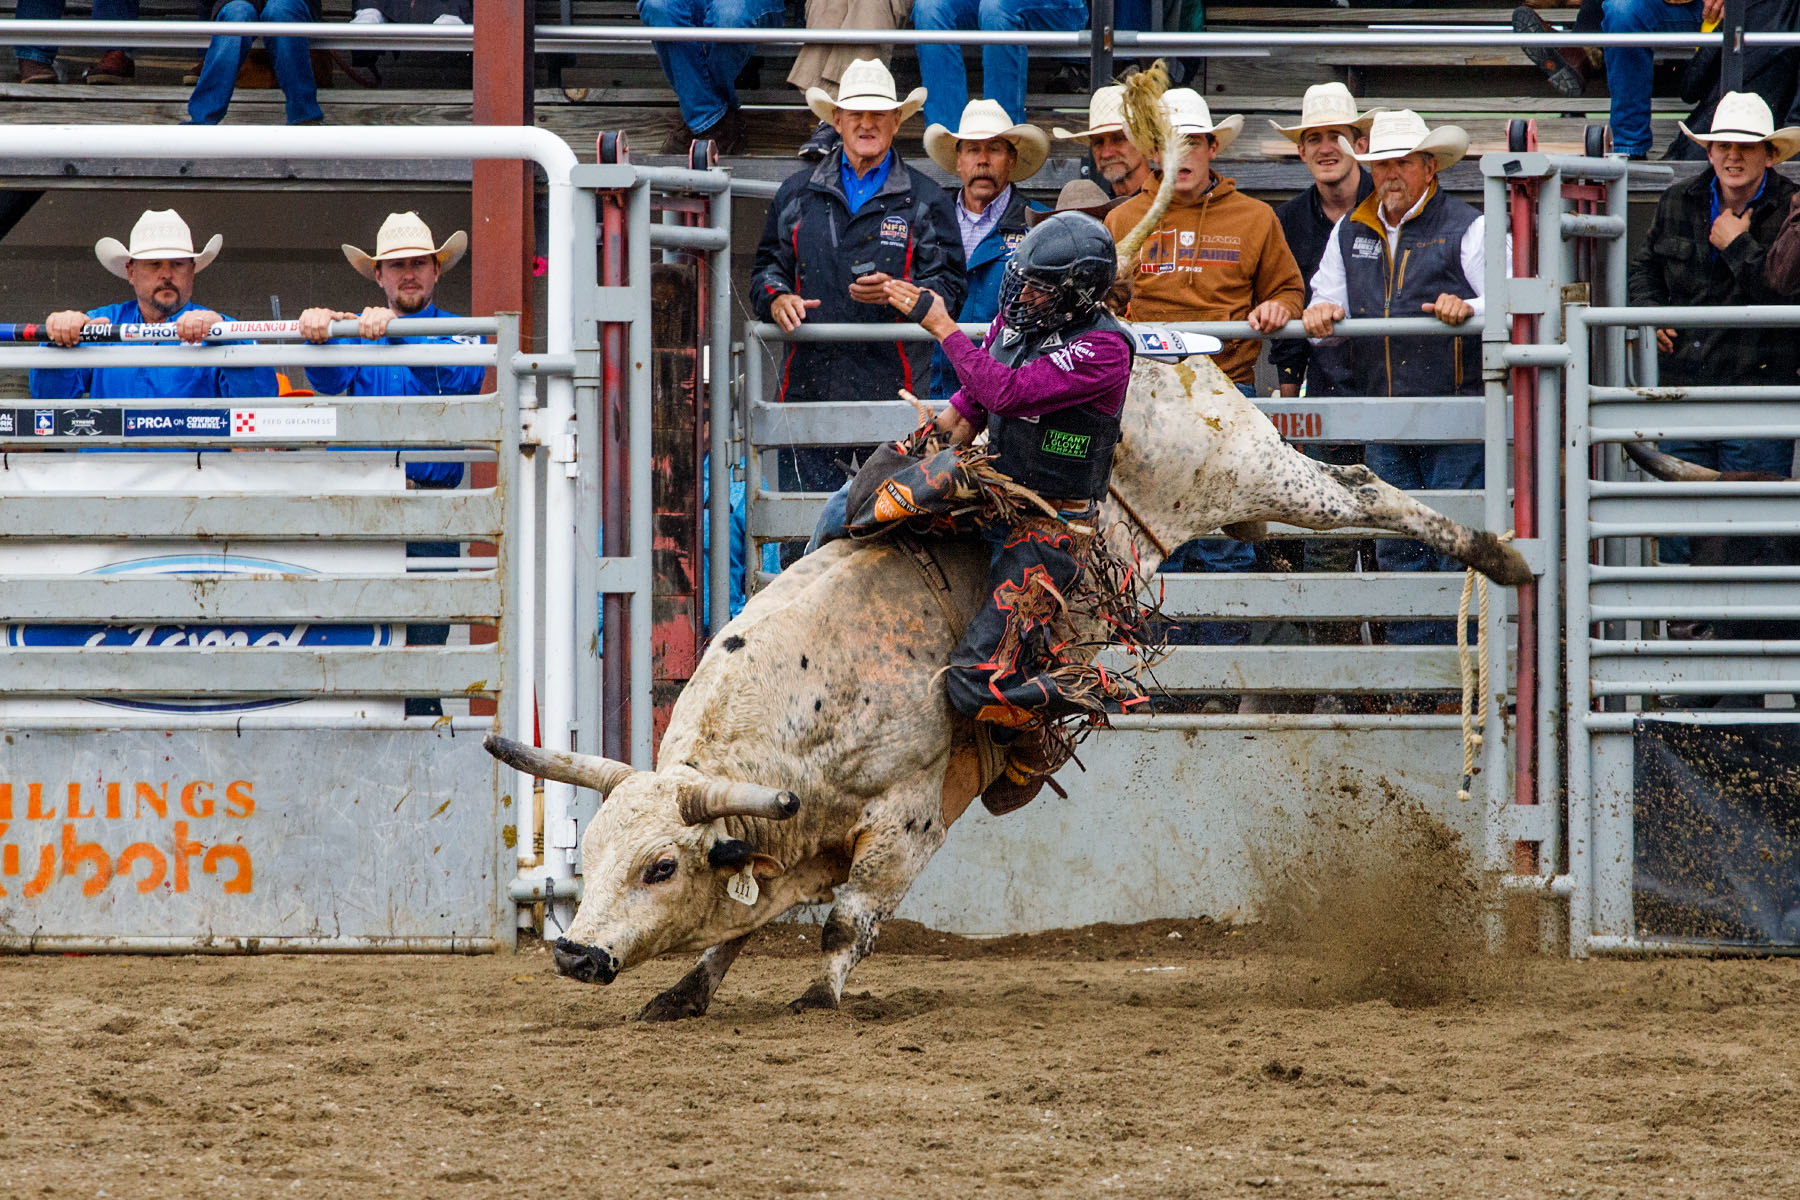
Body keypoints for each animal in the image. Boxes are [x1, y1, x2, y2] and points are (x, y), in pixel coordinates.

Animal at [484, 345, 1532, 1022]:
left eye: (659, 867)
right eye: (596, 851)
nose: (574, 950)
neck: (805, 707)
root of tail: (1160, 343)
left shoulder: (908, 816)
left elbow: (846, 921)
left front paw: (816, 999)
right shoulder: (794, 839)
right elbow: (739, 927)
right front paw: (682, 992)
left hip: (1246, 465)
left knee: (1358, 488)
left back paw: (1500, 556)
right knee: (1309, 518)